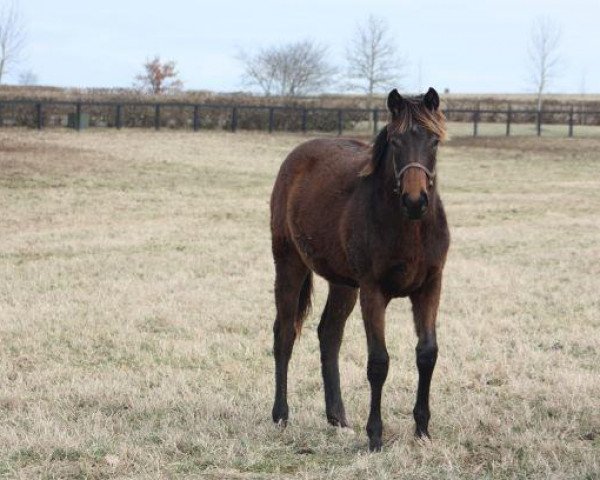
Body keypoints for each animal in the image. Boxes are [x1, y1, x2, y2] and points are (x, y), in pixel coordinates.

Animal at [270, 88, 450, 452]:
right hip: (290, 264)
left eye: (434, 140)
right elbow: (379, 362)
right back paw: (281, 415)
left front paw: (422, 430)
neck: (410, 229)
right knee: (284, 334)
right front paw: (376, 436)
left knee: (329, 334)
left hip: (343, 284)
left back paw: (338, 418)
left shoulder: (430, 286)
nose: (415, 201)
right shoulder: (373, 291)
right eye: (395, 141)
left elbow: (427, 354)